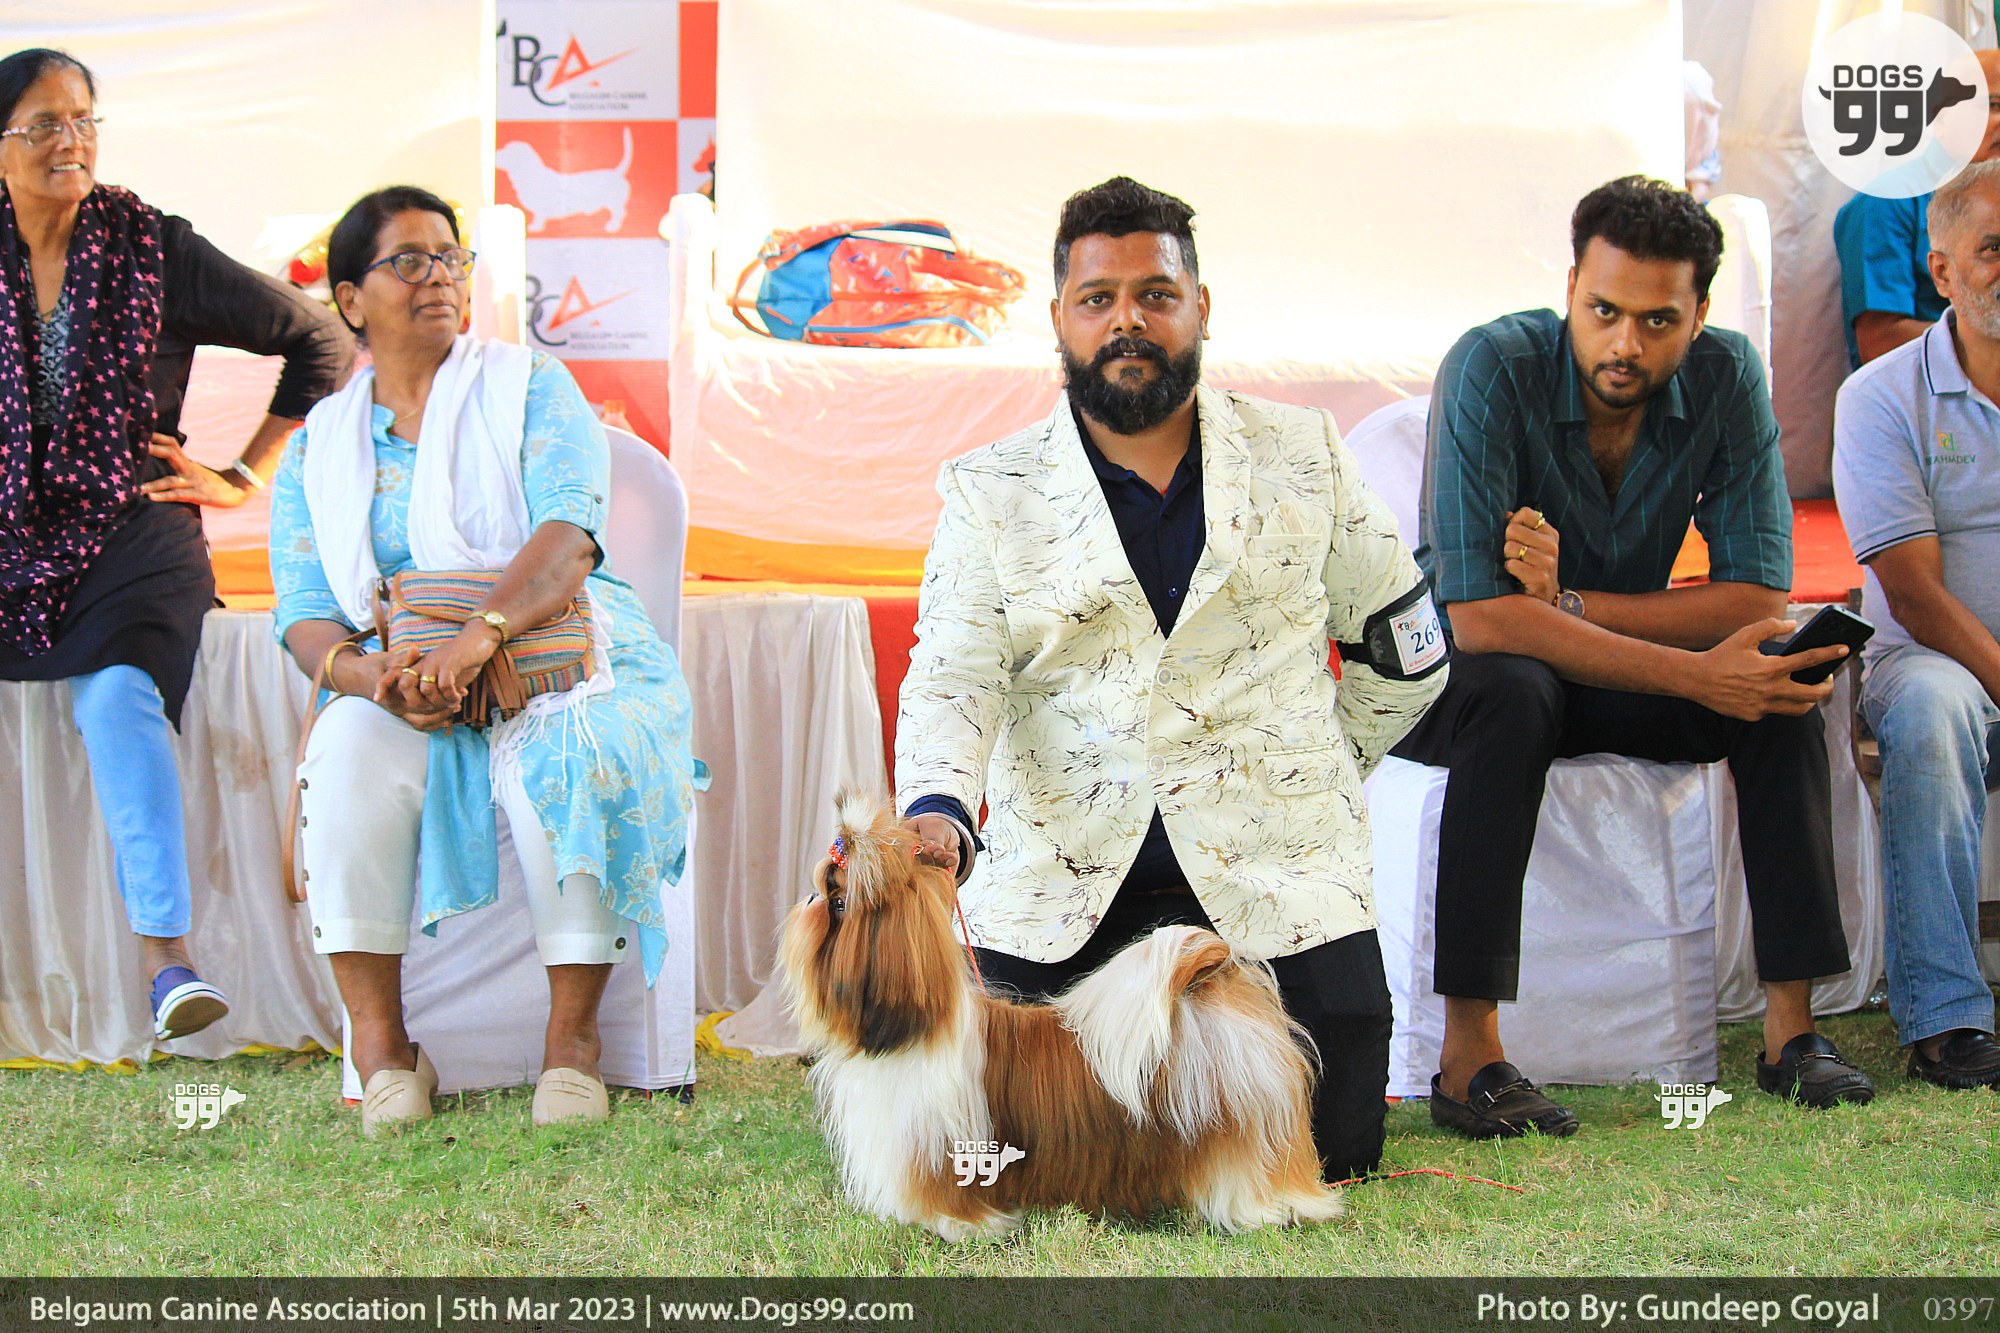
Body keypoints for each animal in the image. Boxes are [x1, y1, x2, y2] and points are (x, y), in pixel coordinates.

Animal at [496, 127, 633, 234]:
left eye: (507, 151)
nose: (495, 154)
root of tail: (617, 172)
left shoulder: (540, 208)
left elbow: (539, 217)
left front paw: (536, 227)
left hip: (613, 202)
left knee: (619, 212)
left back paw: (613, 226)